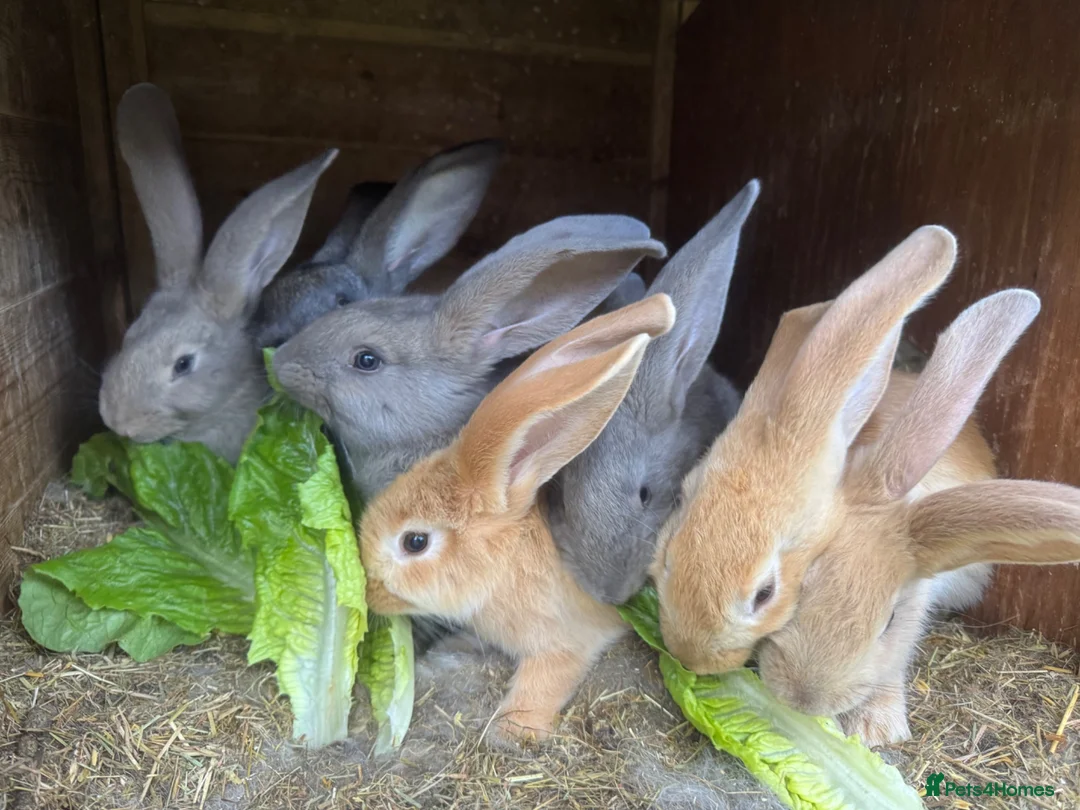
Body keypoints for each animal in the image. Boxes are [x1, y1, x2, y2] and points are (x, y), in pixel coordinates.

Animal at [357, 294, 678, 742]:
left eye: (414, 542)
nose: (369, 591)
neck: (503, 563)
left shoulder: (565, 640)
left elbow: (546, 677)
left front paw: (512, 729)